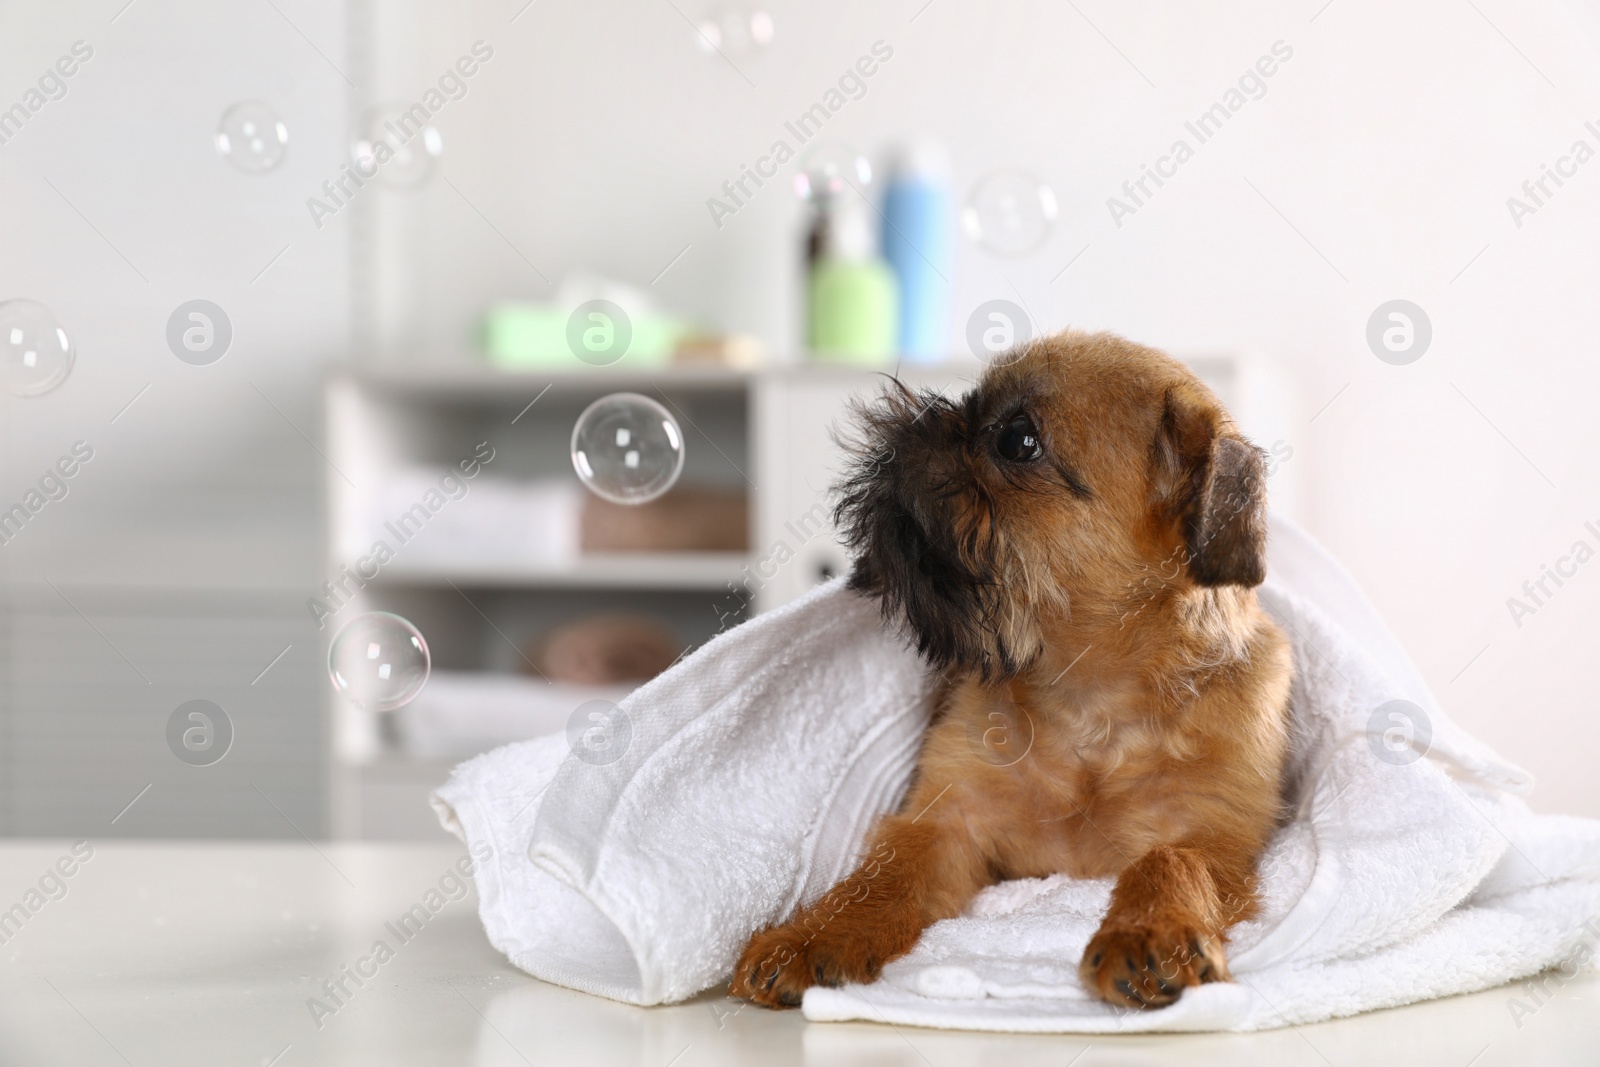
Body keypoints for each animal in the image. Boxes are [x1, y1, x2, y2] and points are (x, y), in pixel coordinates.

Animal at [732, 331, 1292, 1011]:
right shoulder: (944, 824)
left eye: (1017, 441)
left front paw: (1150, 932)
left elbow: (1167, 862)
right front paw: (812, 937)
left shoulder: (1213, 840)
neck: (1091, 708)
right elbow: (880, 879)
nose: (928, 418)